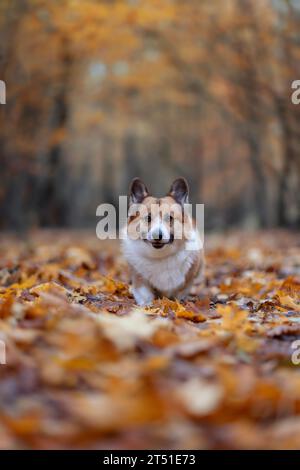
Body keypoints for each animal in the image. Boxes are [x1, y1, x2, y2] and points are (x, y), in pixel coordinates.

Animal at [122, 176, 204, 304]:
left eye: (169, 218)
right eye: (148, 218)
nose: (157, 235)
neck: (159, 256)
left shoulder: (187, 280)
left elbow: (179, 292)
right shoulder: (139, 278)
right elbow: (144, 293)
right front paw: (147, 305)